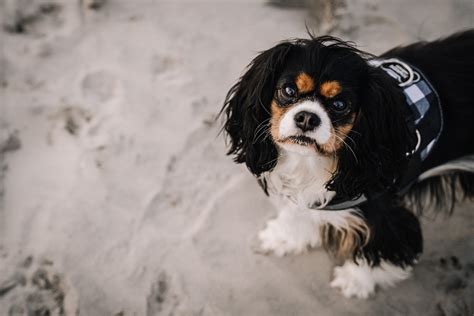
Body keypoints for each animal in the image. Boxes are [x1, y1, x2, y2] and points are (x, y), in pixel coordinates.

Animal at [220, 30, 472, 298]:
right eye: (288, 90)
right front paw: (284, 237)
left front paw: (356, 280)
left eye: (340, 105)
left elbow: (380, 248)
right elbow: (299, 210)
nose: (307, 117)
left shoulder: (385, 215)